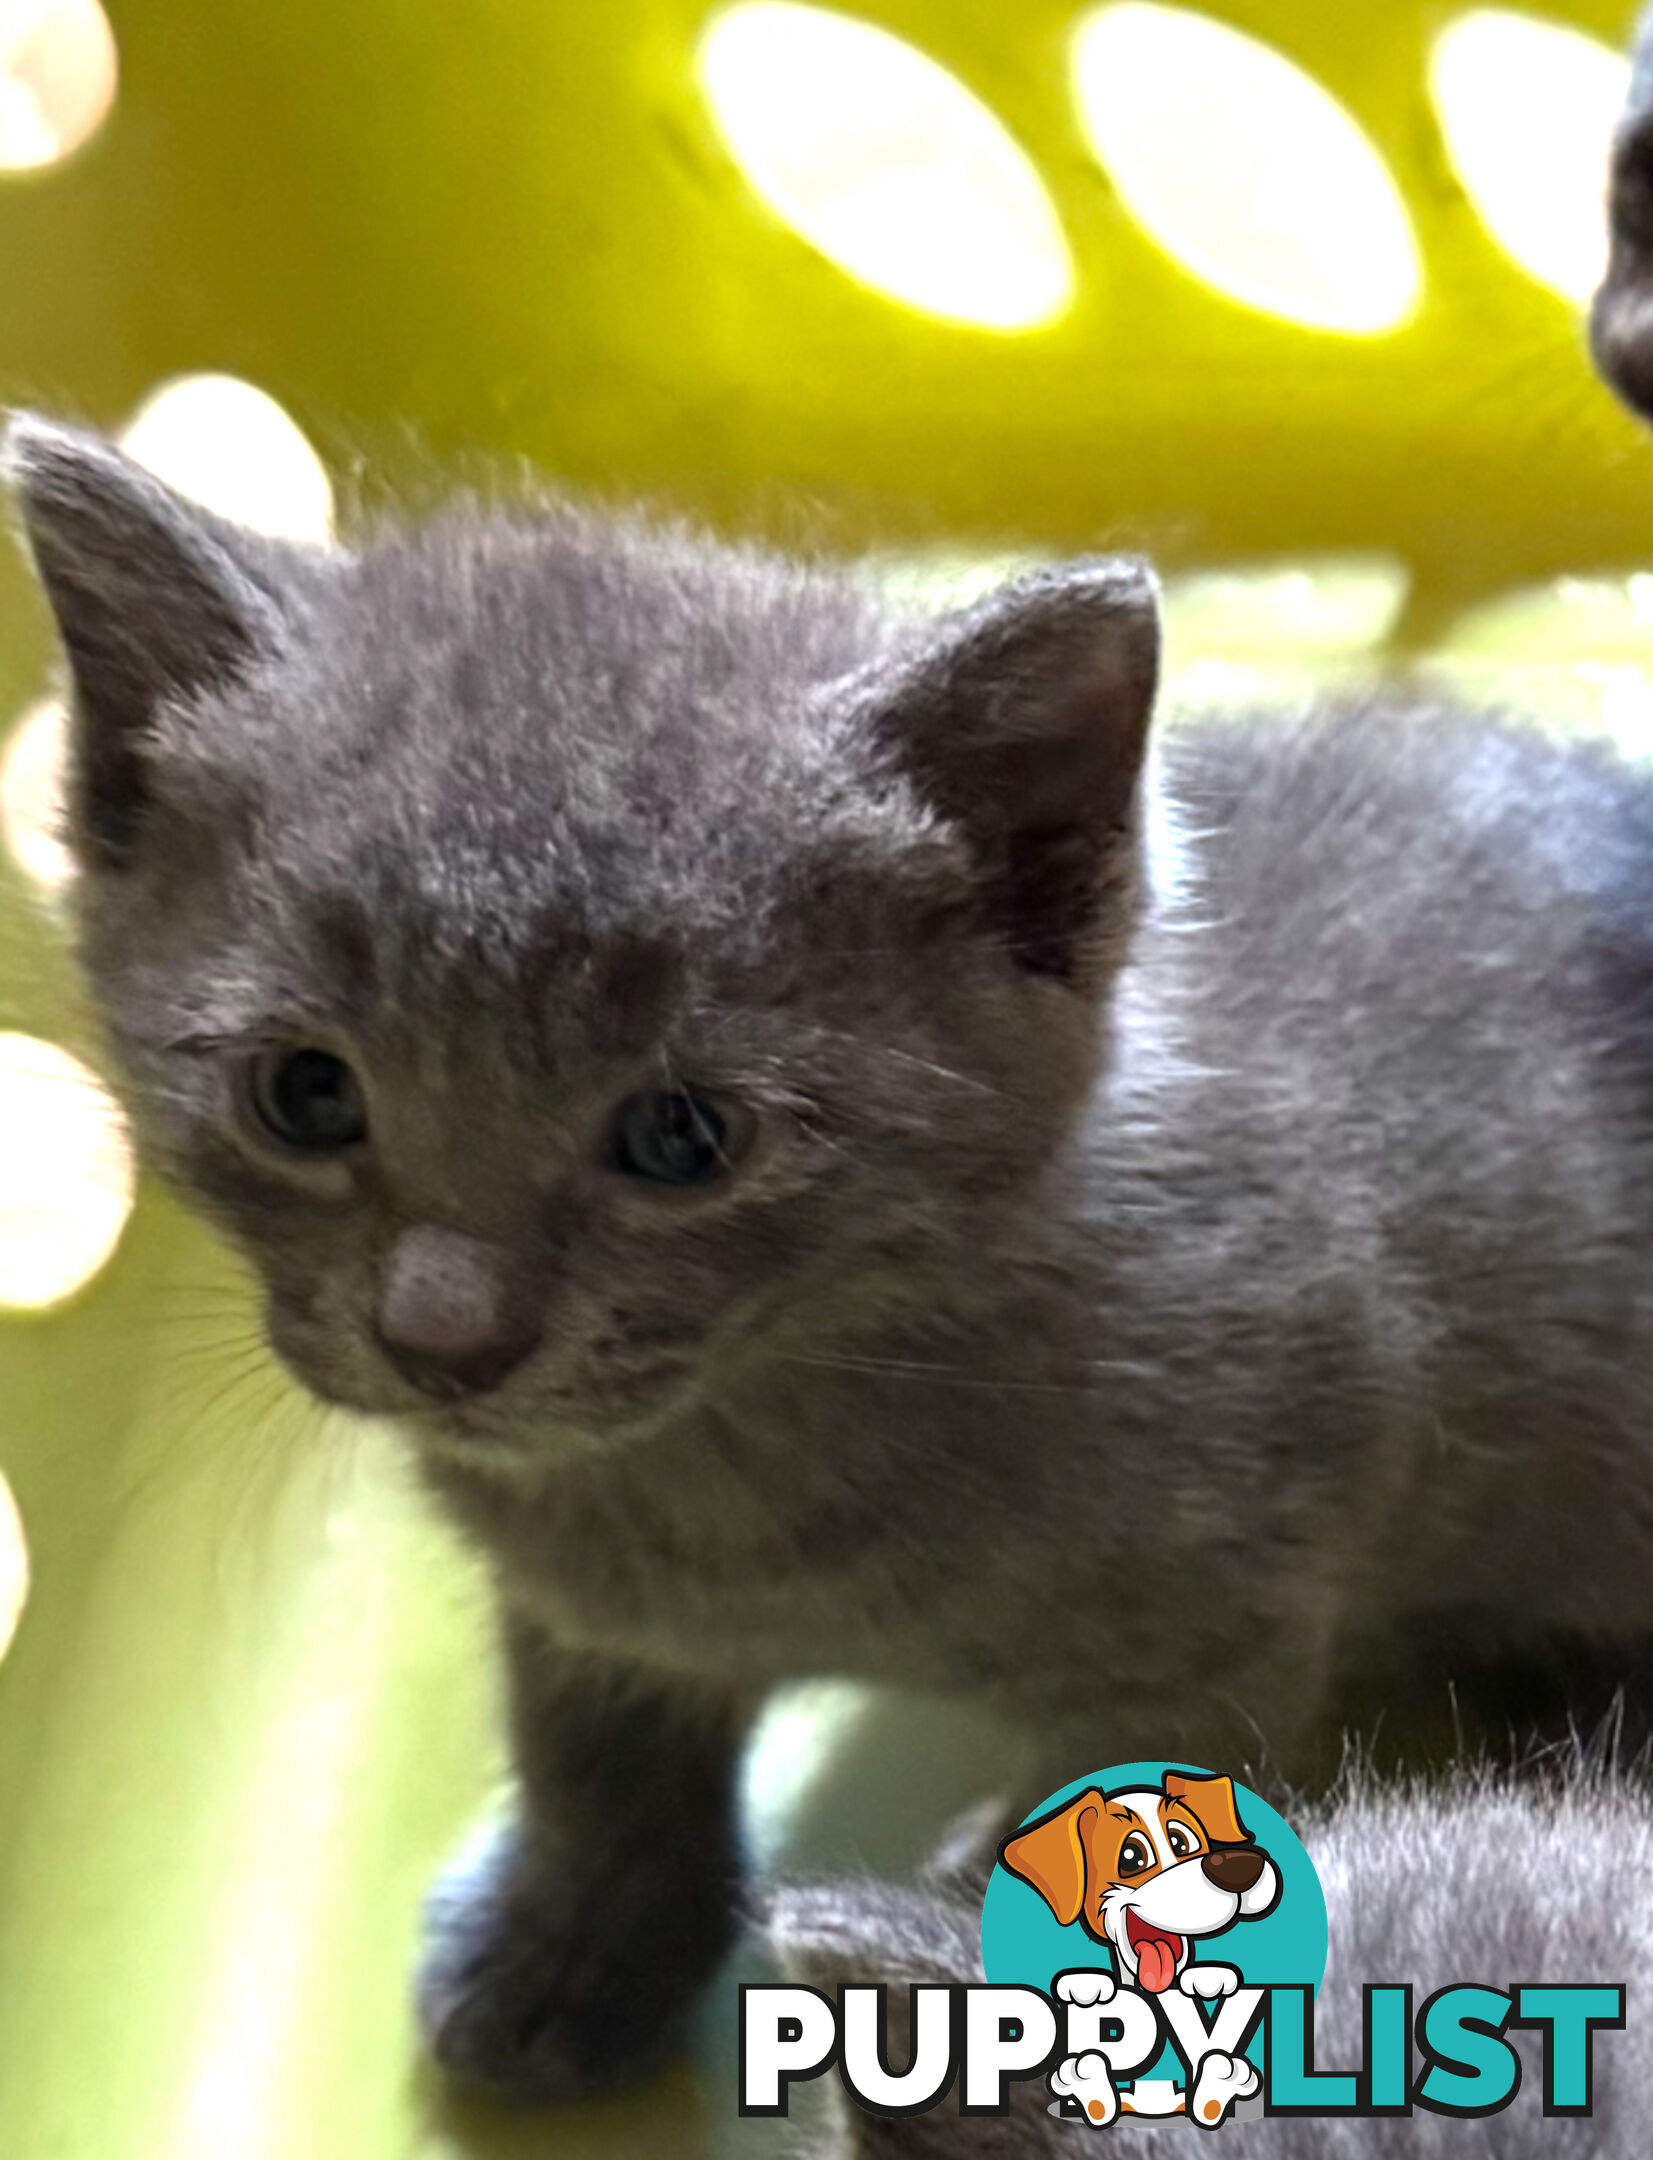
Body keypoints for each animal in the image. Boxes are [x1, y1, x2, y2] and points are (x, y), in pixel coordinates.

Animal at [9, 412, 1650, 2099]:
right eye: (303, 1095)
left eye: (680, 1136)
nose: (442, 1337)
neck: (731, 1479)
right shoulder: (578, 1601)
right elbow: (588, 1748)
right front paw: (572, 1937)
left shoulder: (1235, 1602)